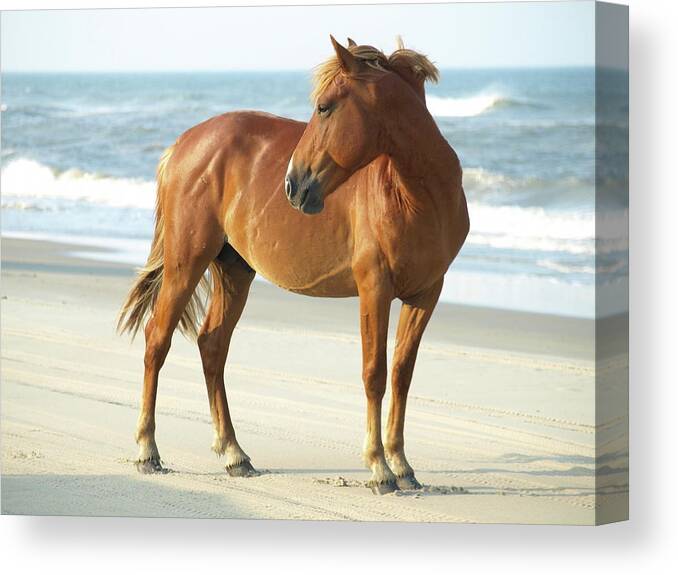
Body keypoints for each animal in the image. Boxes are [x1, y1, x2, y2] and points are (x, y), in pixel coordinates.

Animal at [118, 36, 468, 496]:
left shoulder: (426, 294)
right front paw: (379, 468)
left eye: (324, 107)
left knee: (212, 346)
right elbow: (373, 373)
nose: (293, 185)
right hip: (186, 262)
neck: (418, 196)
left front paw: (402, 465)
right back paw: (147, 450)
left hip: (234, 270)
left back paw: (235, 454)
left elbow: (401, 374)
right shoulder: (375, 289)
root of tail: (185, 143)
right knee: (157, 340)